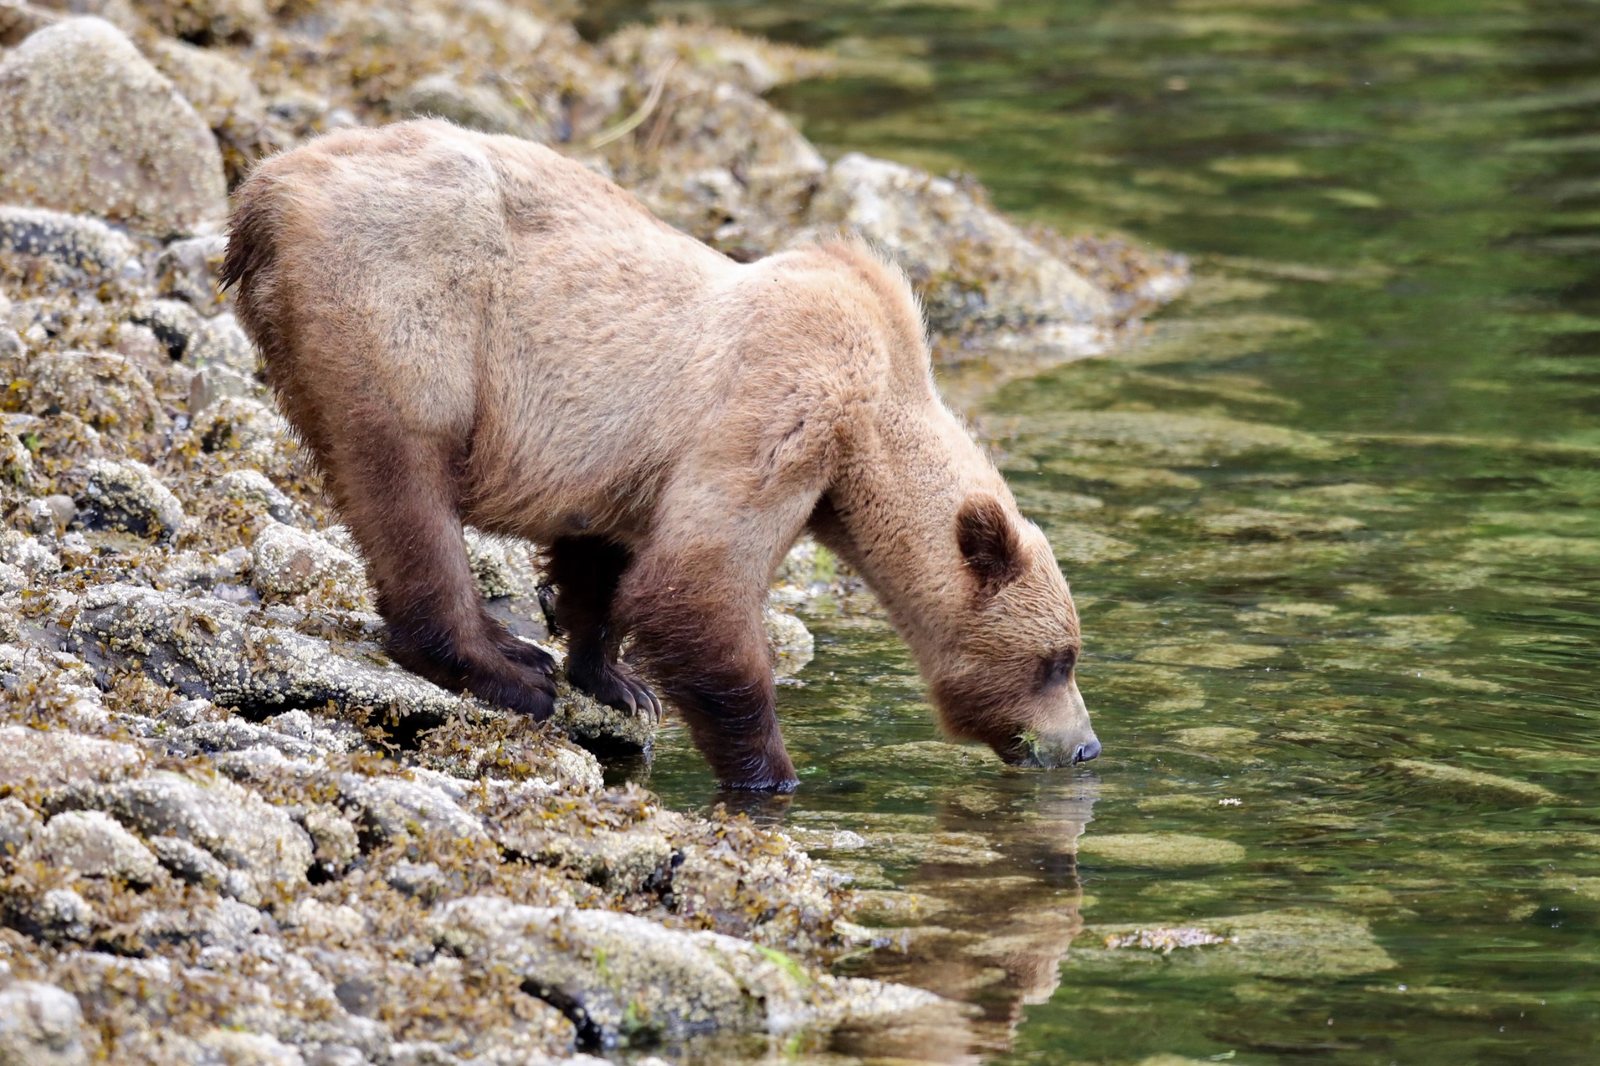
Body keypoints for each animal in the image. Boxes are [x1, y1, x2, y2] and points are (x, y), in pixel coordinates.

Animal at [222, 119, 1099, 791]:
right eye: (1056, 660)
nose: (1086, 745)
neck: (877, 419)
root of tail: (263, 191)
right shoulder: (786, 411)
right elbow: (696, 588)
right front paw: (770, 772)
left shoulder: (628, 458)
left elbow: (606, 558)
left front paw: (616, 678)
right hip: (401, 313)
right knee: (408, 488)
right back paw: (502, 669)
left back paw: (517, 649)